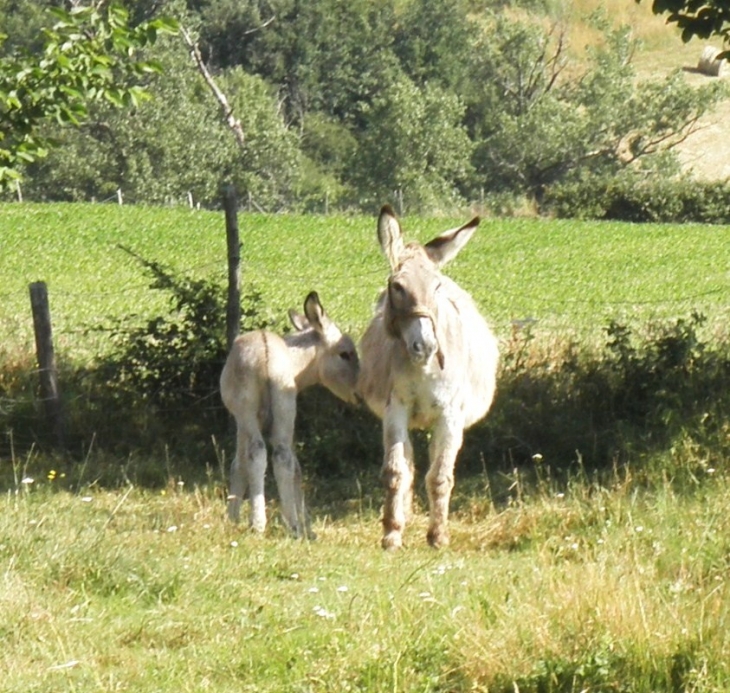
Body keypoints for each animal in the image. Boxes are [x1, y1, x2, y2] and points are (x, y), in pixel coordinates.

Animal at [220, 290, 360, 536]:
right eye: (345, 354)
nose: (361, 393)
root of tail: (267, 356)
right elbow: (295, 467)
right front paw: (307, 526)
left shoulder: (239, 419)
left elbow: (239, 464)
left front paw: (233, 517)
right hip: (284, 408)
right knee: (283, 457)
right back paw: (293, 526)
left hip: (250, 411)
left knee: (259, 452)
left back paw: (260, 523)